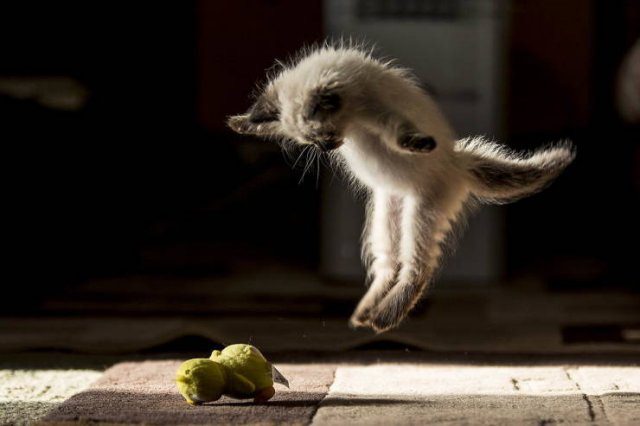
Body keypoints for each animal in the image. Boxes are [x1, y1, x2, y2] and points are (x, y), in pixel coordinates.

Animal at [226, 43, 576, 332]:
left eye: (324, 136)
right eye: (310, 142)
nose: (328, 148)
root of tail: (457, 164)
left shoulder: (380, 112)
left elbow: (399, 133)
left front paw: (419, 144)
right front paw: (241, 122)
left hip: (420, 215)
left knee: (417, 269)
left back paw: (384, 317)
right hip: (385, 220)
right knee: (387, 267)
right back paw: (364, 314)